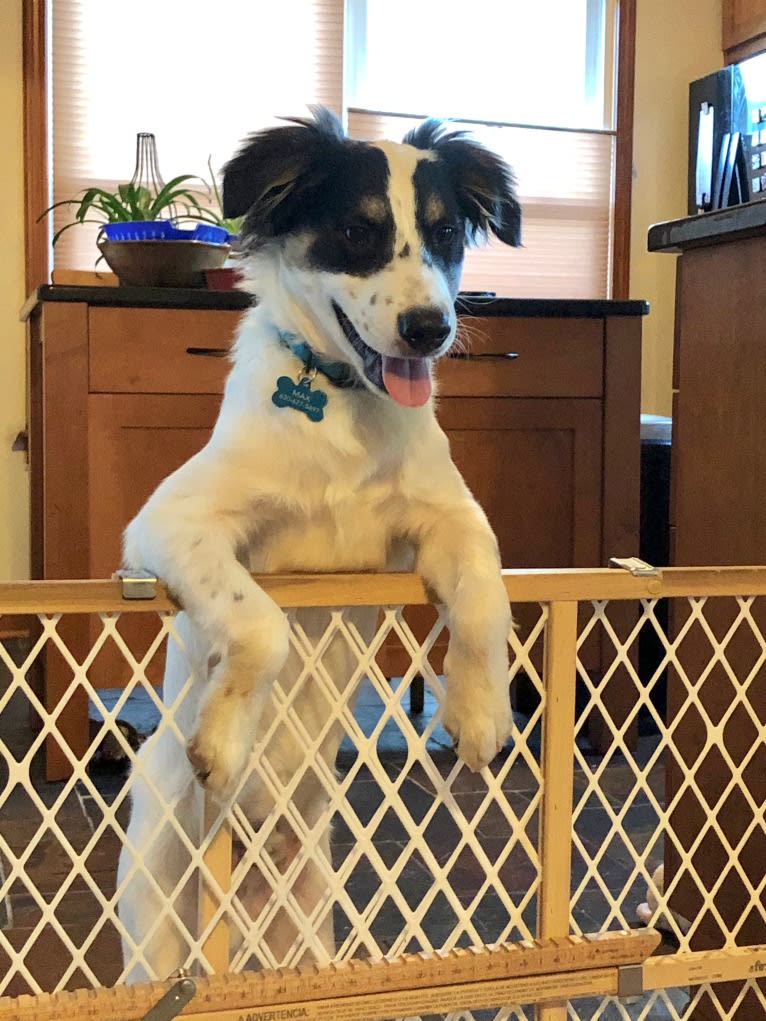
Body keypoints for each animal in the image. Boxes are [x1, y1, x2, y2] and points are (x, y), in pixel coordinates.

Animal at [116, 105, 527, 980]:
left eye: (446, 235)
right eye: (354, 231)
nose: (430, 328)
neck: (343, 407)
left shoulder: (447, 517)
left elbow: (484, 597)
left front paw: (478, 711)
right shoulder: (169, 520)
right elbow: (260, 621)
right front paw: (222, 740)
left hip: (308, 932)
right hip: (154, 920)